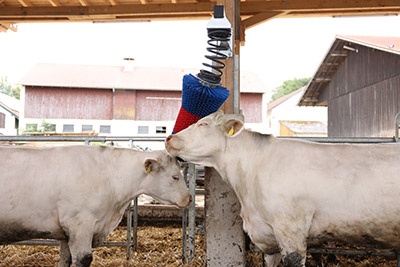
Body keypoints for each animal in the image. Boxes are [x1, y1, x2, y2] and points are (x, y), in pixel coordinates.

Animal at [0, 146, 191, 266]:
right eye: (175, 176)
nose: (189, 198)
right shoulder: (79, 224)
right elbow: (83, 259)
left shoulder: (66, 232)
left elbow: (65, 259)